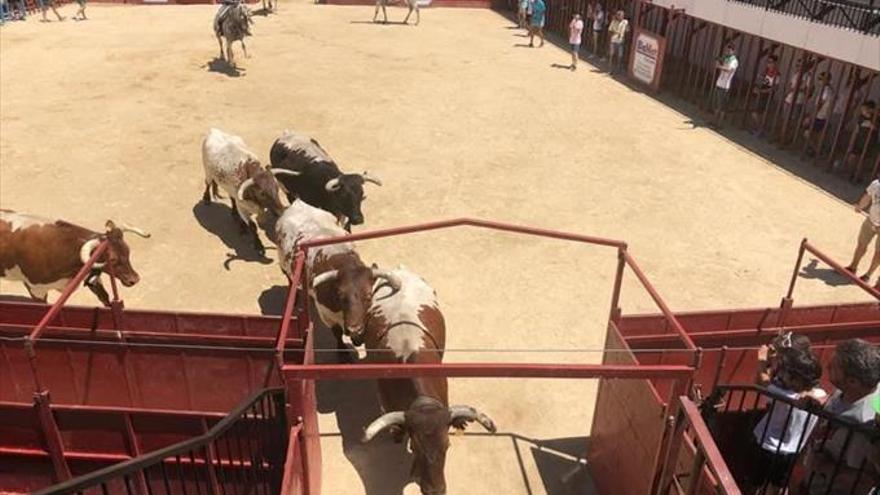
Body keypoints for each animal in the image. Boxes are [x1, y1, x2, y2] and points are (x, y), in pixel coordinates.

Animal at [276, 200, 398, 358]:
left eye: (369, 296)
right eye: (340, 295)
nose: (353, 329)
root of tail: (297, 204)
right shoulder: (328, 316)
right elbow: (337, 333)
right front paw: (343, 353)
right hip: (283, 263)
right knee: (289, 278)